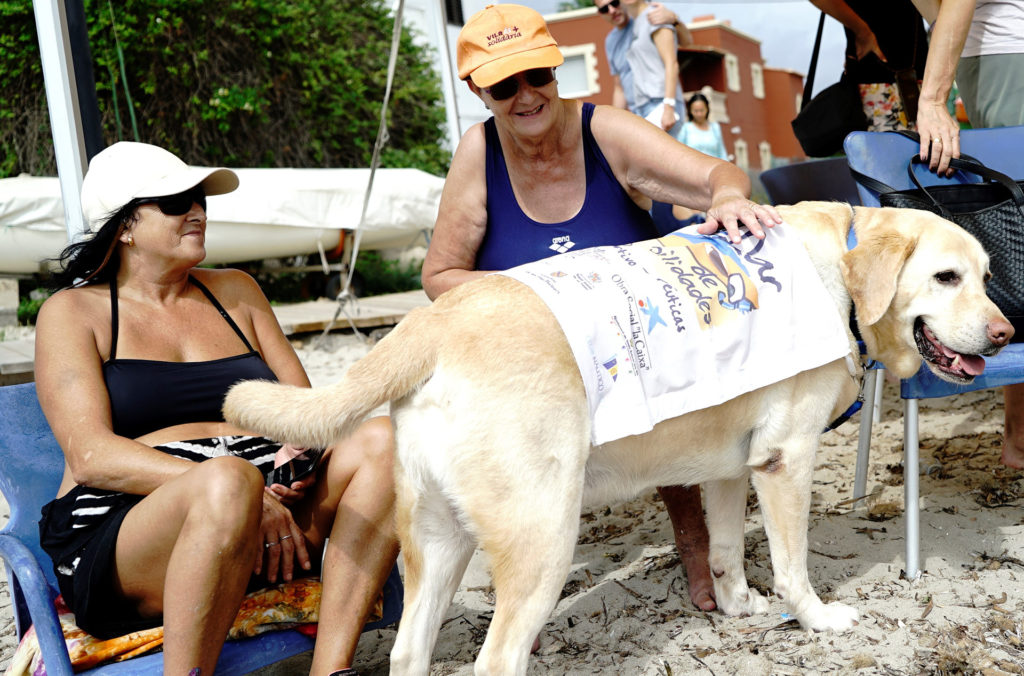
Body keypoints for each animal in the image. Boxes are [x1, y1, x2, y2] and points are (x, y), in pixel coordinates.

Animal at [222, 201, 1007, 676]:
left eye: (986, 276)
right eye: (945, 277)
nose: (1005, 334)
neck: (837, 275)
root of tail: (429, 325)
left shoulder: (732, 466)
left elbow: (726, 552)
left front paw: (740, 610)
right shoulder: (785, 462)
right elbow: (792, 565)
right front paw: (815, 619)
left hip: (436, 543)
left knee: (412, 654)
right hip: (542, 541)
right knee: (496, 659)